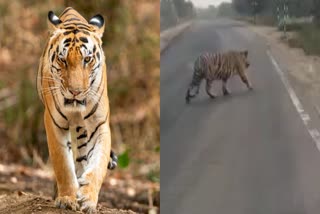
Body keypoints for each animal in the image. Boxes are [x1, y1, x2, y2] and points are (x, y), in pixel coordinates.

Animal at [36, 7, 116, 213]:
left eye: (87, 59)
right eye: (62, 60)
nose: (75, 91)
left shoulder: (100, 125)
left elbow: (98, 165)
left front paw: (87, 198)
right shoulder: (54, 123)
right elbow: (63, 165)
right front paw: (67, 198)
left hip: (82, 130)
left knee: (82, 156)